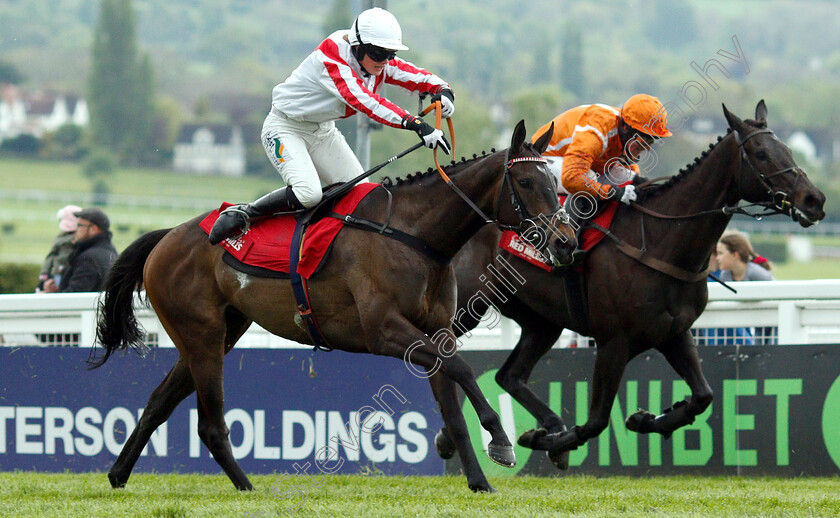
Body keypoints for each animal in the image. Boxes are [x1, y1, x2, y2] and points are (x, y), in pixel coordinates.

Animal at [90, 121, 576, 496]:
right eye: (527, 183)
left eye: (555, 184)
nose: (566, 243)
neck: (416, 236)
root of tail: (168, 236)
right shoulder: (384, 331)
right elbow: (463, 370)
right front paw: (500, 438)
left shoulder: (435, 329)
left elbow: (453, 407)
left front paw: (478, 479)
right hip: (202, 335)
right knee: (209, 424)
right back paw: (245, 487)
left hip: (220, 332)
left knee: (158, 403)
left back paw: (118, 475)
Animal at [440, 100, 828, 472]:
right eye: (761, 153)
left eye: (789, 151)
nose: (815, 200)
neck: (661, 241)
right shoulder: (613, 341)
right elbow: (596, 421)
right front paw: (548, 442)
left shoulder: (675, 332)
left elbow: (703, 396)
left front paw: (647, 419)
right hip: (467, 307)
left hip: (542, 322)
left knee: (509, 376)